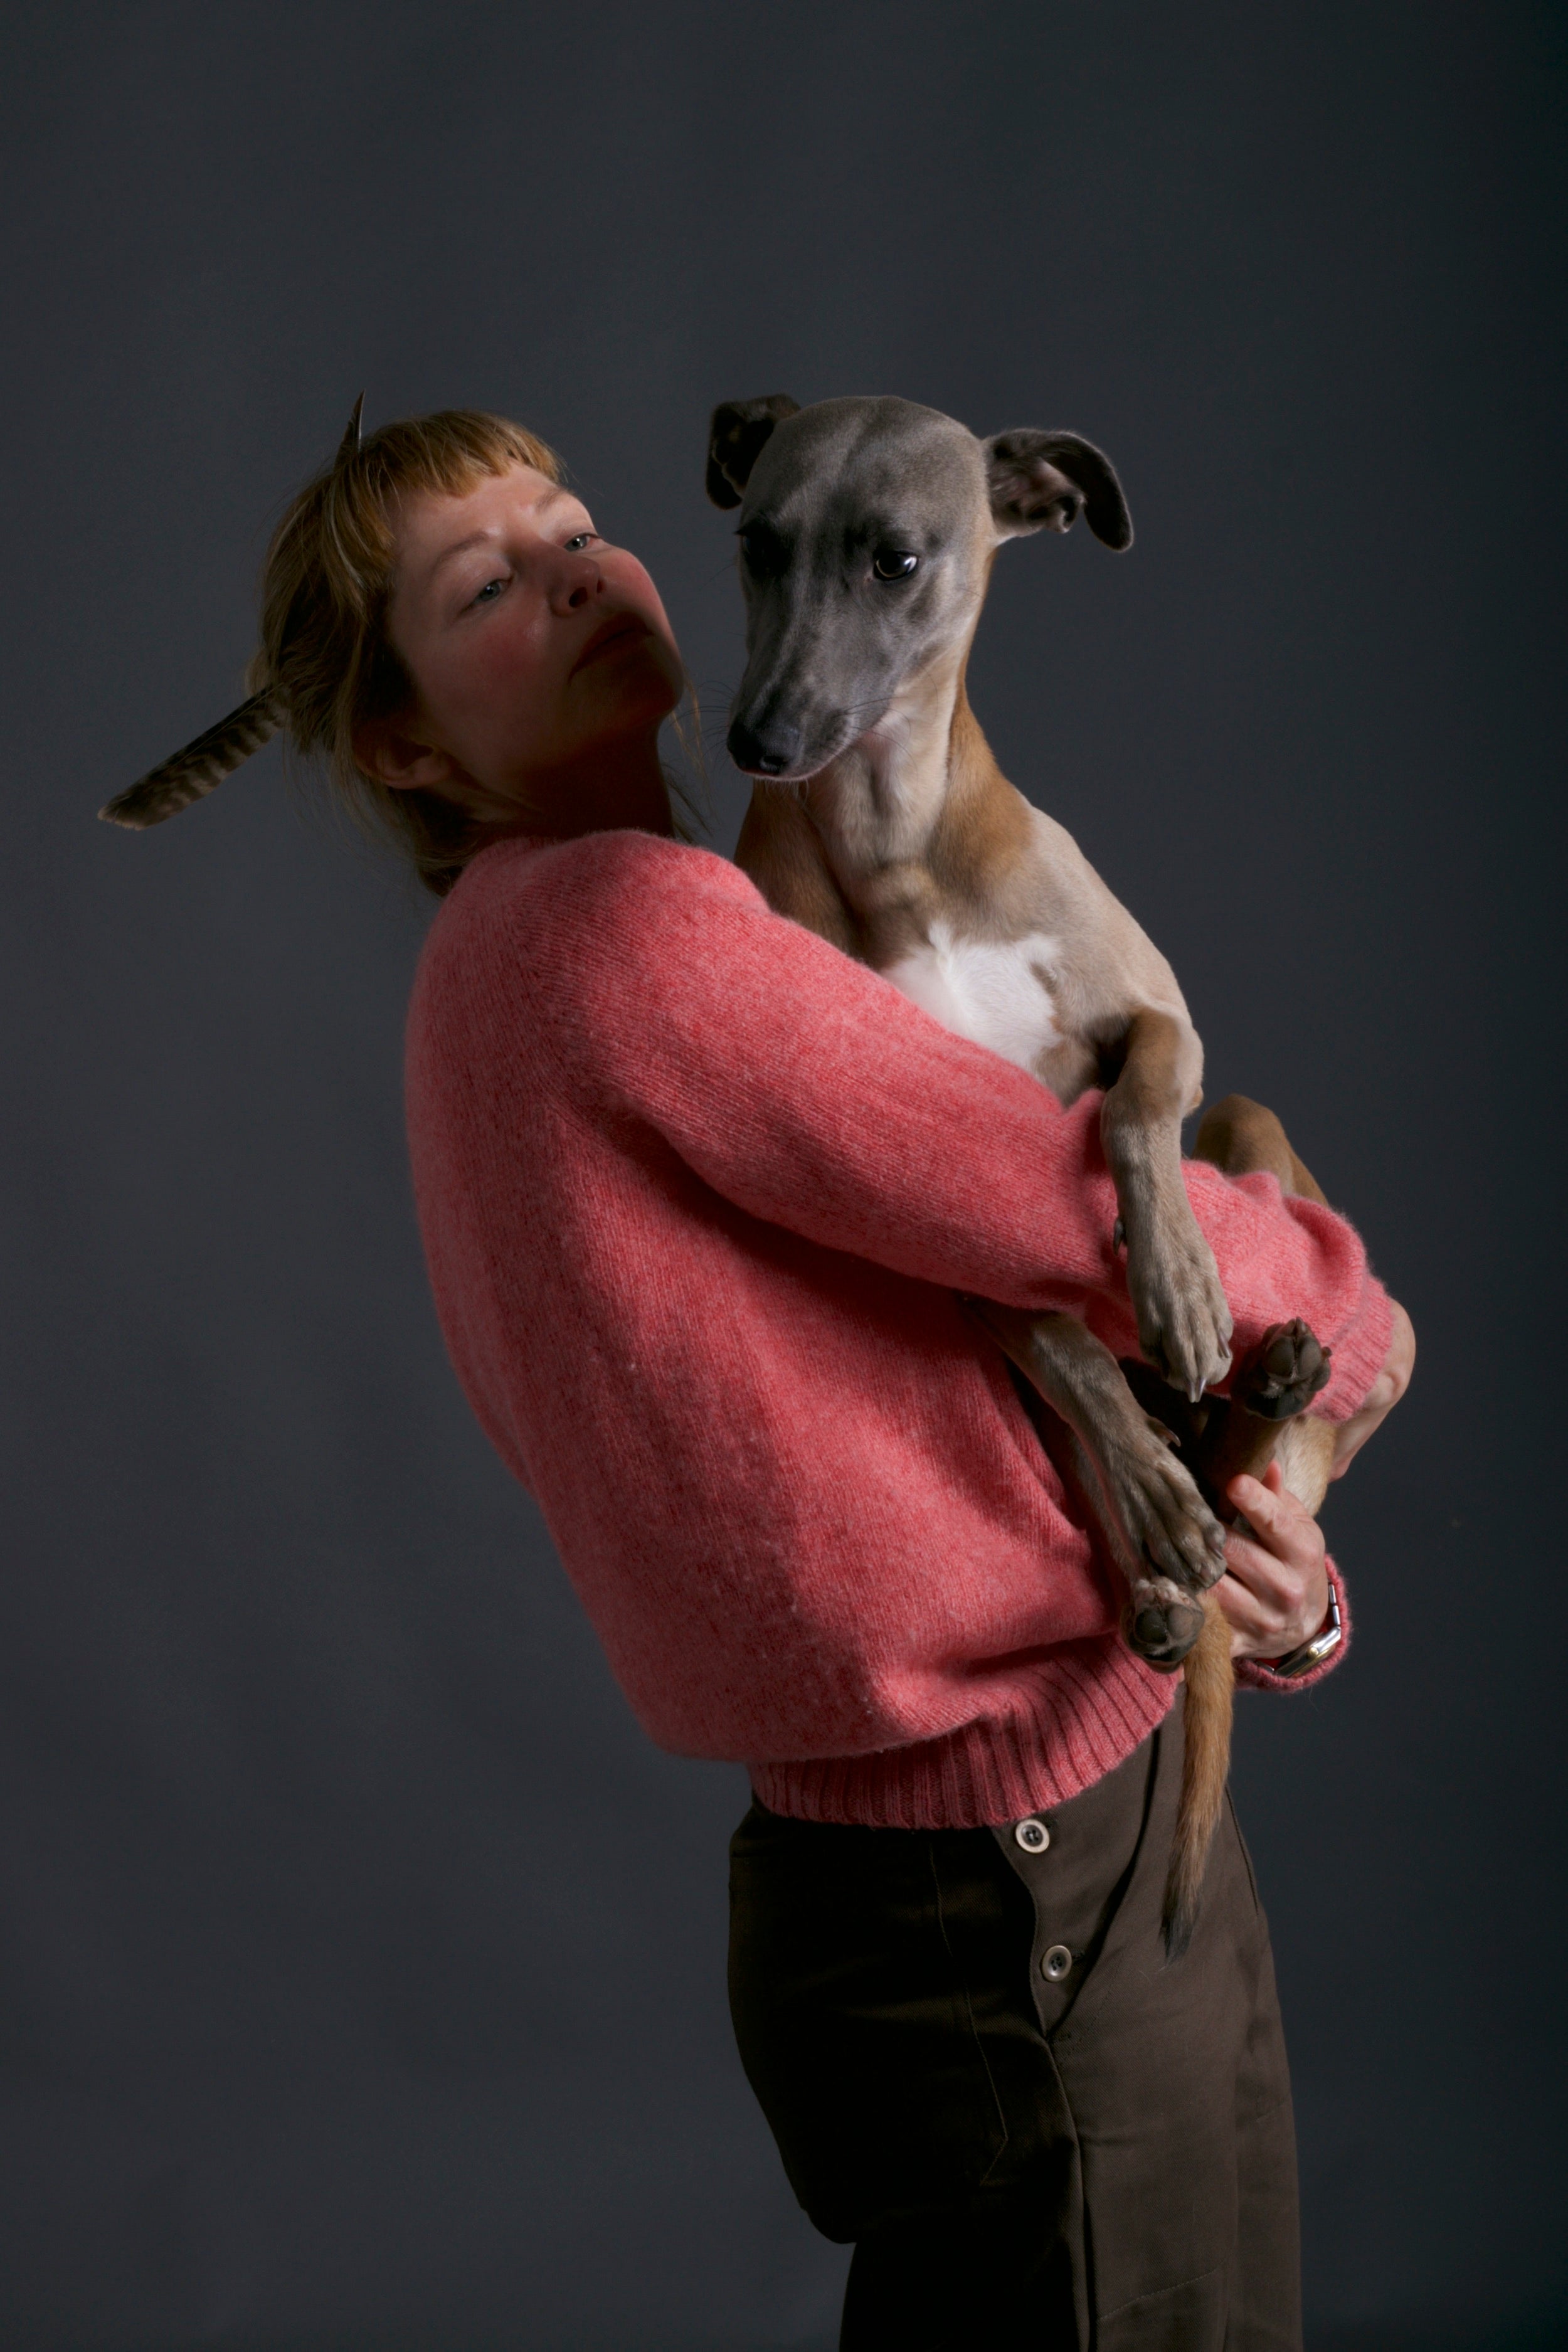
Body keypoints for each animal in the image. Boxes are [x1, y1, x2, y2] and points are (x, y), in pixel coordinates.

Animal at [709, 395, 1335, 1947]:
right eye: (755, 542)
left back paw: (1265, 1386)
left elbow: (1134, 1108)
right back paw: (1164, 1561)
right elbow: (1065, 1346)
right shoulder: (921, 1213)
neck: (899, 849)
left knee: (1253, 1442)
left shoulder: (1159, 1013)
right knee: (1142, 1491)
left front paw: (1175, 1284)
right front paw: (1147, 1473)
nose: (763, 738)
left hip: (1251, 1120)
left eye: (898, 557)